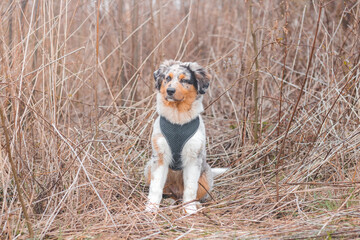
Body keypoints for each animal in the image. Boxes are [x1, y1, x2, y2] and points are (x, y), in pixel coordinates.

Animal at [143, 60, 225, 214]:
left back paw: (196, 204)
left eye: (184, 80)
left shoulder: (193, 157)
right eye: (167, 78)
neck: (178, 120)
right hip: (149, 168)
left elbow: (191, 188)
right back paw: (168, 201)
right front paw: (151, 208)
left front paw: (190, 210)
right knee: (168, 193)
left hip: (206, 176)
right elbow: (156, 187)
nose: (170, 91)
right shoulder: (160, 156)